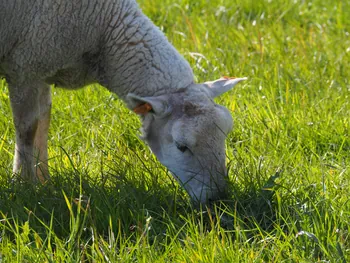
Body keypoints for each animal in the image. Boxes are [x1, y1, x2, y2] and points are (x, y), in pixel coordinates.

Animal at [0, 0, 246, 205]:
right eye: (181, 146)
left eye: (225, 134)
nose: (218, 198)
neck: (104, 29)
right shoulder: (25, 67)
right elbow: (28, 130)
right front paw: (24, 185)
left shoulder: (41, 69)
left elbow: (43, 123)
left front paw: (44, 181)